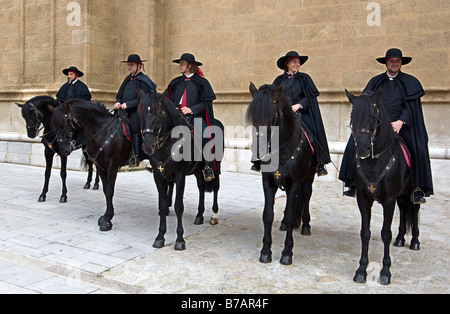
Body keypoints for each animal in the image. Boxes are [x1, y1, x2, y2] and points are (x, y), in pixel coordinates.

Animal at [51, 100, 132, 231]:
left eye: (64, 124)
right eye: (55, 126)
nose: (63, 150)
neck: (103, 130)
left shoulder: (112, 165)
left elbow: (110, 190)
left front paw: (108, 219)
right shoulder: (100, 165)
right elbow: (106, 190)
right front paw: (106, 216)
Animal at [137, 91, 221, 250]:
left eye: (159, 115)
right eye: (140, 114)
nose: (147, 147)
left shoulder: (180, 176)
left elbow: (178, 207)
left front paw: (180, 240)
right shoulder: (159, 176)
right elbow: (163, 206)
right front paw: (160, 237)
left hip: (216, 166)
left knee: (215, 187)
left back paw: (214, 216)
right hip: (197, 171)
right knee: (201, 187)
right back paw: (199, 216)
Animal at [246, 83, 316, 264]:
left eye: (271, 116)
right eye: (252, 117)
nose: (258, 151)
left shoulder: (294, 184)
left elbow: (291, 215)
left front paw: (287, 253)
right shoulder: (268, 183)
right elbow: (268, 215)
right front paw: (265, 251)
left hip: (308, 179)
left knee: (306, 196)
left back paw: (306, 225)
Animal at [344, 88, 422, 284]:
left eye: (373, 115)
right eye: (352, 116)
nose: (362, 149)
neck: (374, 162)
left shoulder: (389, 200)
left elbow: (386, 233)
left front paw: (386, 271)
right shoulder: (363, 199)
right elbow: (365, 232)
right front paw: (361, 270)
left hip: (411, 193)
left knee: (414, 209)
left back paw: (414, 241)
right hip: (401, 195)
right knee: (404, 208)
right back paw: (401, 238)